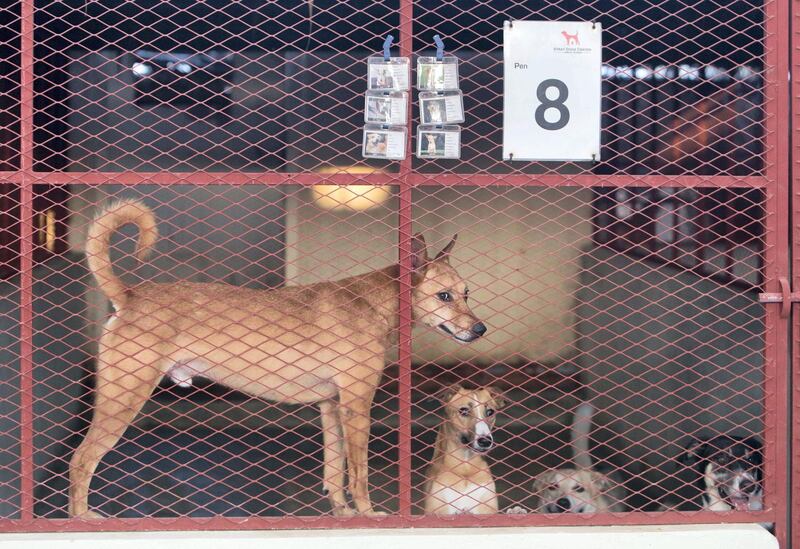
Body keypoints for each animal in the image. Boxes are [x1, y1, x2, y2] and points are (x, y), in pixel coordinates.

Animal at [69, 199, 484, 516]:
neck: (372, 303)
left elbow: (334, 473)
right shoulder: (356, 406)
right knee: (81, 460)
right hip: (123, 400)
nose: (480, 330)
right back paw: (83, 520)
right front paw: (367, 514)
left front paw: (343, 514)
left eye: (466, 293)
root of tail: (129, 296)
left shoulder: (332, 406)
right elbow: (359, 474)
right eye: (444, 296)